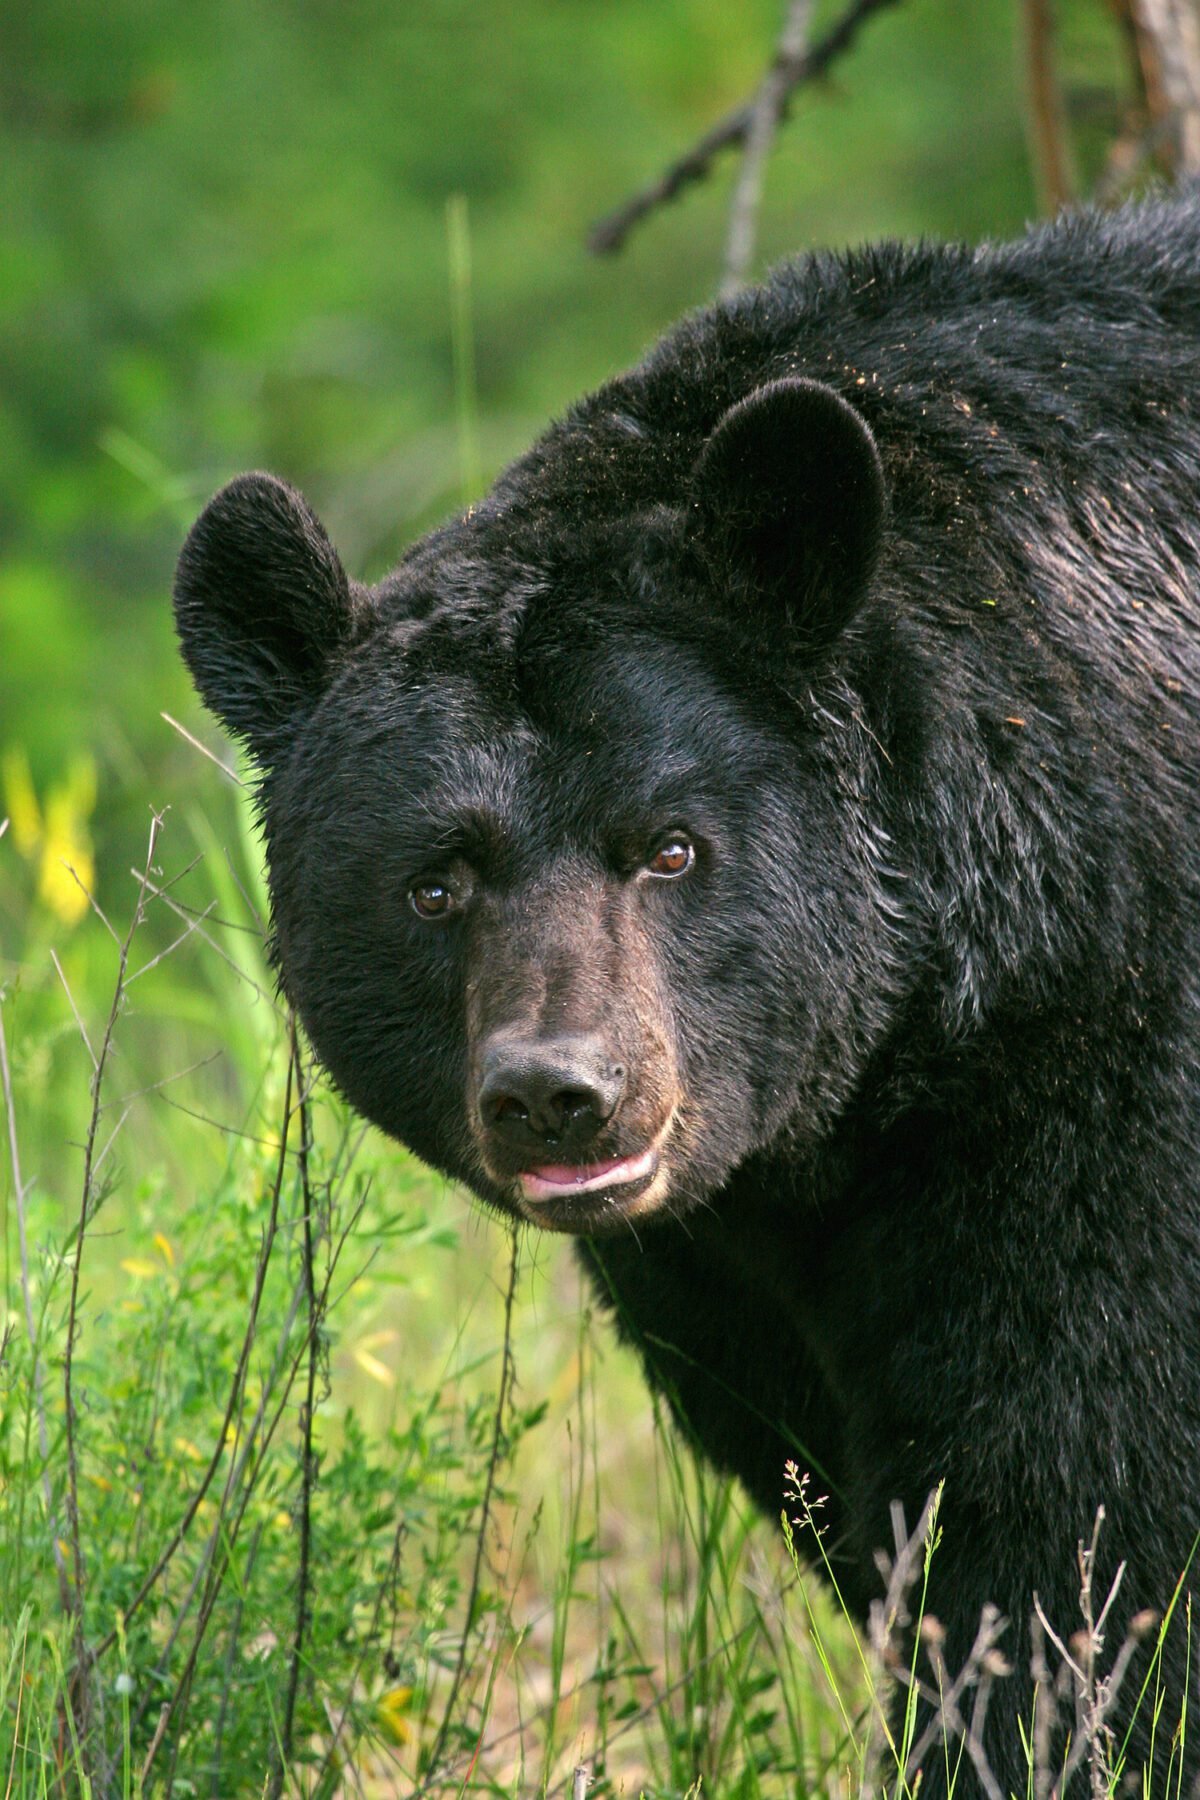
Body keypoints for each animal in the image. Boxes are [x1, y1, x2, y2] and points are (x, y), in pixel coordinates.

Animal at [173, 194, 1200, 1795]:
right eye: (434, 882)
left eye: (668, 845)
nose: (558, 1092)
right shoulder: (735, 1280)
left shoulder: (1108, 1089)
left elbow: (1076, 1509)